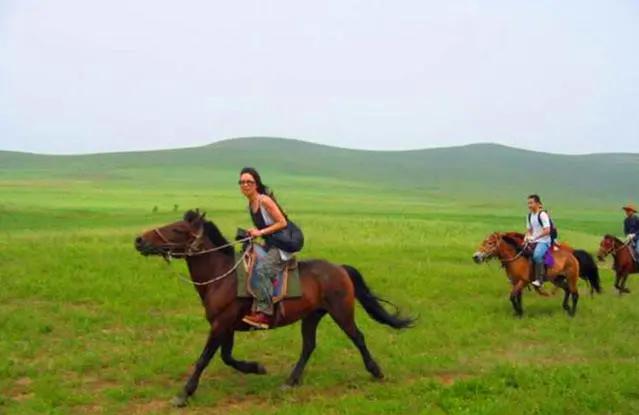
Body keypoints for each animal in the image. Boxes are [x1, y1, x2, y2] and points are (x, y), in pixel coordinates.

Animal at [135, 211, 416, 406]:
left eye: (177, 229)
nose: (139, 240)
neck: (221, 277)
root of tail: (339, 268)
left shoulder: (220, 324)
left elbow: (204, 358)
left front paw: (183, 394)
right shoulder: (226, 326)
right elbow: (227, 357)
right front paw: (257, 368)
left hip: (342, 312)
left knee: (358, 337)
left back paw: (376, 372)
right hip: (311, 316)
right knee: (309, 345)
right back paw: (290, 382)